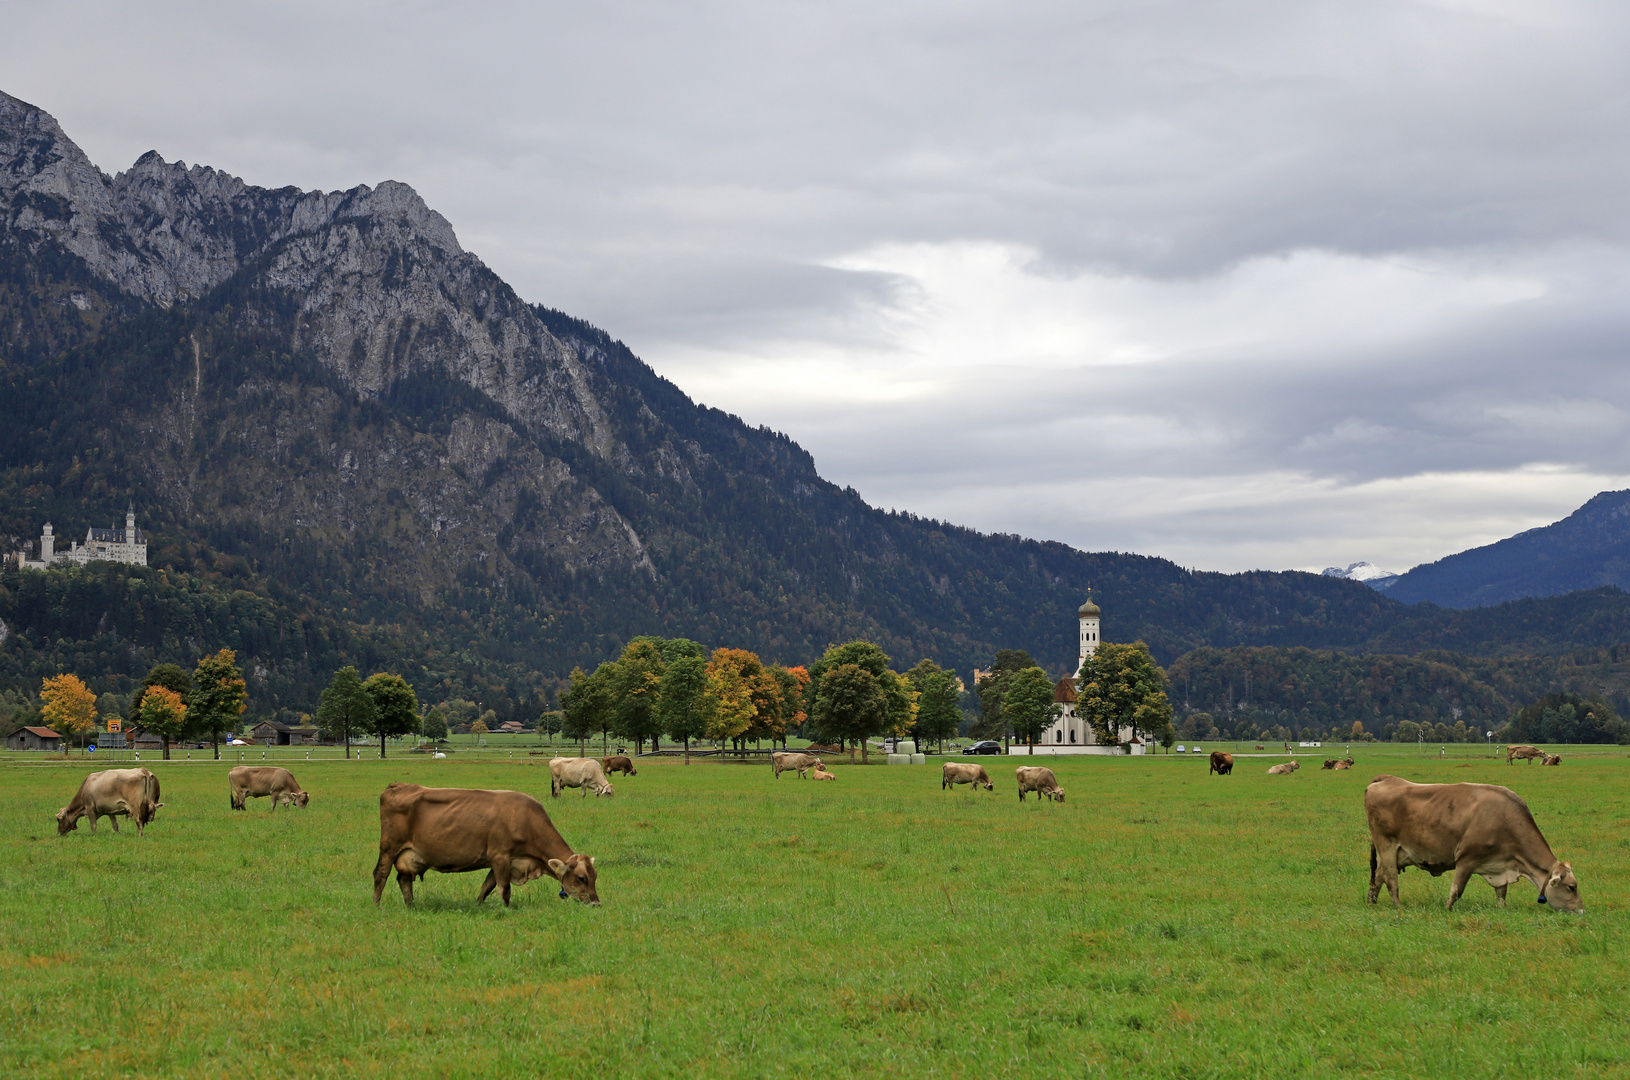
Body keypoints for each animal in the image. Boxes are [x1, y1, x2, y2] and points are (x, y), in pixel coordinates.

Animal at [371, 781, 599, 905]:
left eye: (595, 876)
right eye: (581, 878)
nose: (596, 903)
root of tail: (398, 786)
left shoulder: (499, 862)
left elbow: (486, 887)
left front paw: (478, 905)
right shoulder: (500, 857)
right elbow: (503, 890)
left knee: (404, 879)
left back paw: (411, 906)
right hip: (389, 847)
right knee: (380, 874)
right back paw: (377, 905)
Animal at [1362, 778, 1577, 912]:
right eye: (1572, 887)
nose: (1581, 911)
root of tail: (1386, 779)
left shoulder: (1500, 865)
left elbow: (1501, 892)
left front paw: (1502, 909)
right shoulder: (1466, 859)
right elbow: (1456, 890)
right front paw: (1446, 910)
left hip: (1390, 854)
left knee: (1377, 878)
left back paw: (1372, 904)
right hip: (1387, 847)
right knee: (1391, 880)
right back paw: (1398, 906)